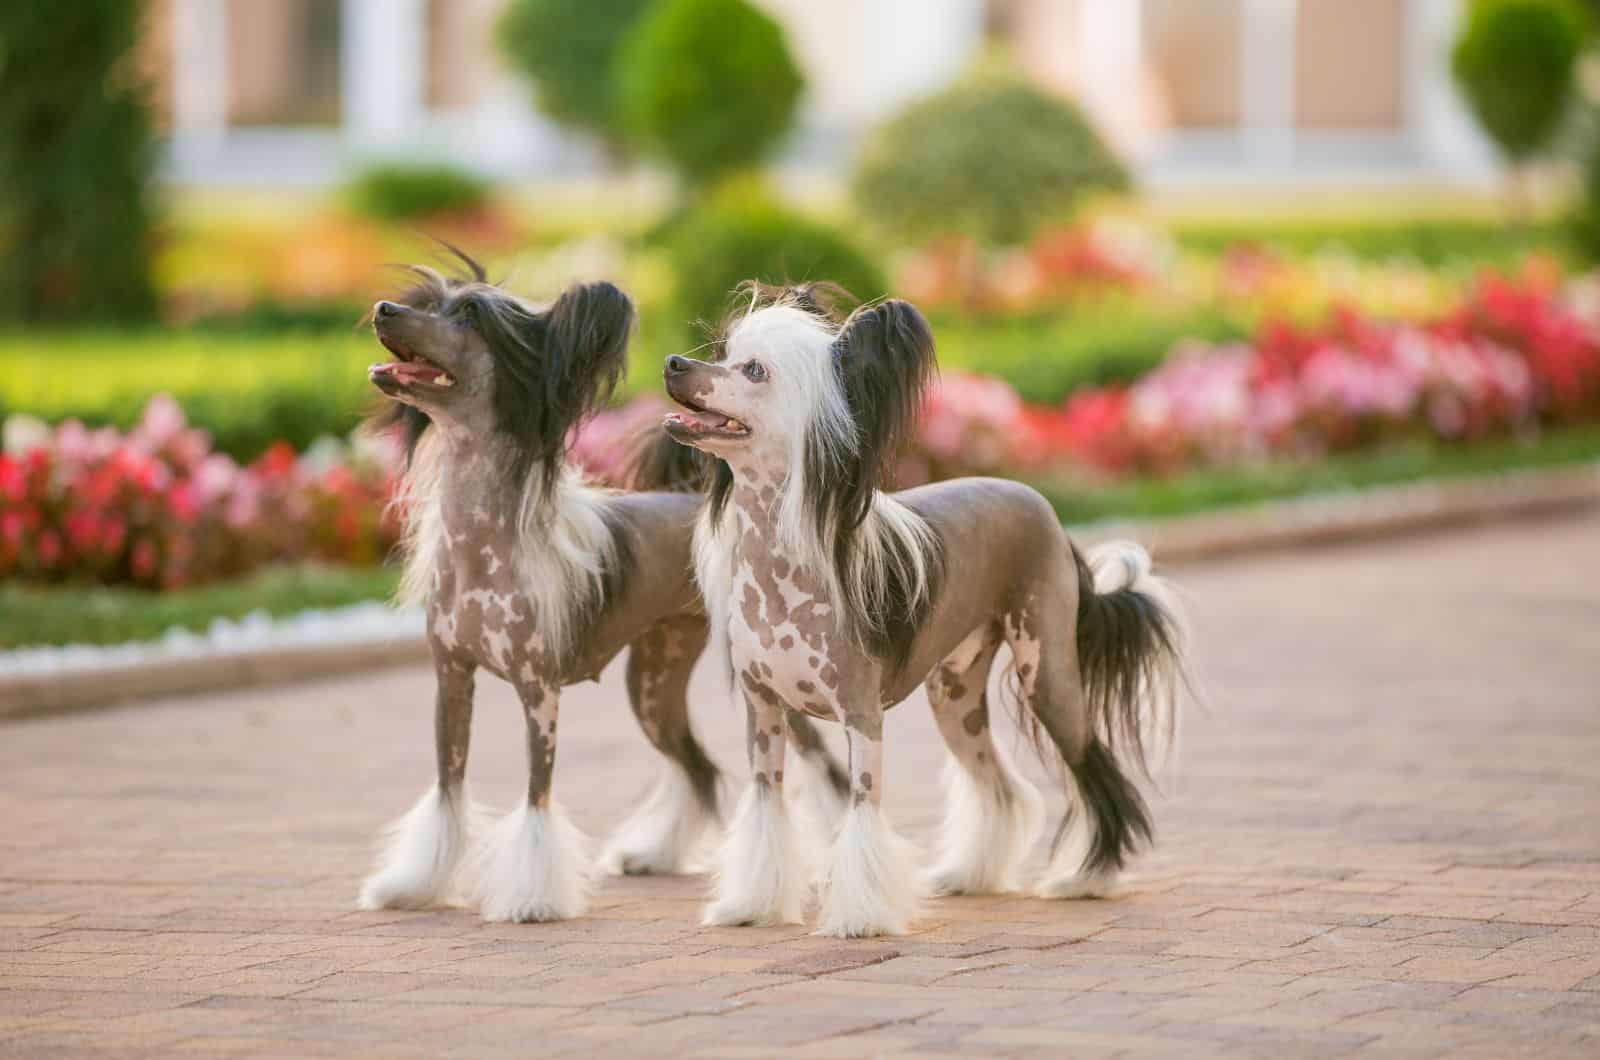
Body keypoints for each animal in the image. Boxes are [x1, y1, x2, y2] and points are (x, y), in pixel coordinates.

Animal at [355, 260, 844, 928]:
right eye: (431, 303)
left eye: (471, 317)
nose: (384, 310)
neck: (480, 543)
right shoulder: (451, 680)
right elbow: (447, 792)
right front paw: (417, 885)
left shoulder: (539, 693)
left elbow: (536, 799)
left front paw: (531, 898)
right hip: (654, 683)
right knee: (696, 766)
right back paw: (655, 854)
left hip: (769, 686)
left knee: (822, 768)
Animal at [659, 285, 1190, 941]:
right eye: (723, 354)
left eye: (754, 370)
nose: (673, 364)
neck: (781, 561)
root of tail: (1048, 512)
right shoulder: (765, 714)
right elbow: (766, 808)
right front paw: (752, 906)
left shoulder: (861, 717)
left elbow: (862, 813)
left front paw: (859, 918)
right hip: (955, 694)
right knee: (997, 782)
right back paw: (972, 874)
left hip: (1048, 673)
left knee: (1094, 767)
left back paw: (1088, 878)